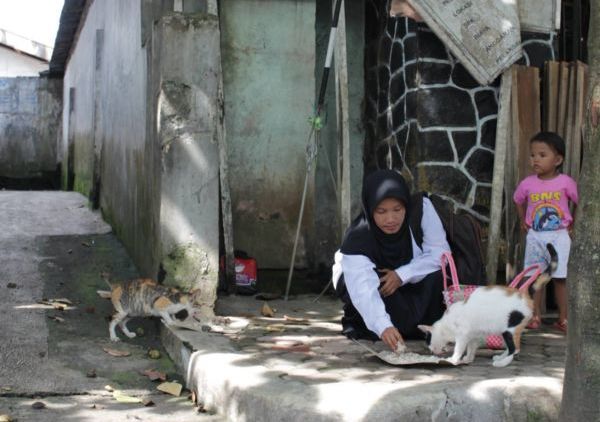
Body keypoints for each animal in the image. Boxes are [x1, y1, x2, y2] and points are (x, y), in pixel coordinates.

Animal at [420, 244, 556, 366]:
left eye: (428, 341)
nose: (431, 351)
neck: (446, 324)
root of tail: (525, 294)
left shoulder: (462, 335)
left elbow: (458, 349)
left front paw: (453, 360)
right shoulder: (473, 336)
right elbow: (471, 348)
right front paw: (468, 359)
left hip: (509, 329)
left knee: (515, 348)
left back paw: (502, 362)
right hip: (505, 330)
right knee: (510, 347)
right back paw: (500, 357)